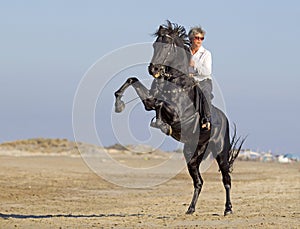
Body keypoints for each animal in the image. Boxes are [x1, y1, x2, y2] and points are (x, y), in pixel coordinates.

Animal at [113, 20, 244, 216]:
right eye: (154, 45)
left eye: (167, 46)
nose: (153, 69)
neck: (174, 81)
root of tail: (224, 119)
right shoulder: (149, 102)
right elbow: (133, 81)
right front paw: (119, 103)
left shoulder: (177, 115)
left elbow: (160, 104)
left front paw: (161, 124)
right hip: (192, 155)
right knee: (199, 182)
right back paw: (191, 209)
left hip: (221, 152)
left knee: (226, 179)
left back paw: (228, 209)